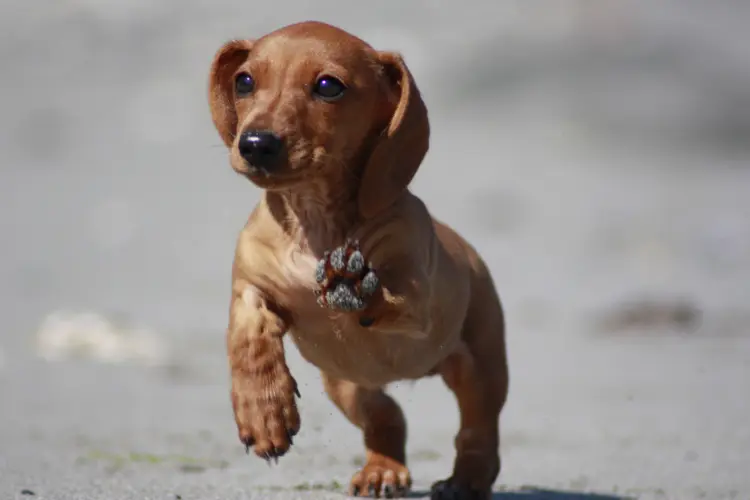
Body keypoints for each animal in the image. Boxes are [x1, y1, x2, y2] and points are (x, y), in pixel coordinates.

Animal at [206, 20, 512, 500]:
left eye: (328, 86)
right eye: (245, 81)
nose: (255, 144)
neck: (314, 228)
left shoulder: (416, 300)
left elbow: (390, 293)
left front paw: (351, 285)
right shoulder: (251, 287)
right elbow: (249, 339)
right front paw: (264, 413)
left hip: (480, 366)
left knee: (478, 431)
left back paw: (467, 479)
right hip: (348, 385)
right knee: (387, 417)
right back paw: (382, 470)